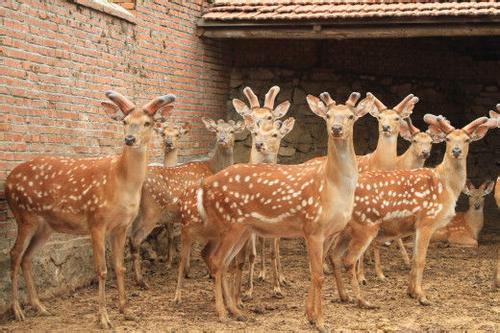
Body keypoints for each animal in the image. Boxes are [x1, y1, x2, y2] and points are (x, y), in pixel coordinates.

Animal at [4, 91, 174, 326]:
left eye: (147, 123)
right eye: (124, 121)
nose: (129, 139)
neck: (121, 182)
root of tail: (8, 180)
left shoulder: (122, 226)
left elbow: (119, 266)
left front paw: (126, 310)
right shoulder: (96, 221)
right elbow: (101, 269)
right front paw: (103, 318)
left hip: (45, 226)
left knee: (27, 257)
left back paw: (40, 307)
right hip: (24, 215)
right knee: (14, 254)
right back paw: (18, 310)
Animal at [130, 117, 245, 288]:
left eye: (232, 131)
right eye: (216, 130)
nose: (222, 139)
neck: (212, 168)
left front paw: (187, 271)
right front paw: (205, 273)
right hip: (151, 211)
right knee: (136, 239)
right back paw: (141, 281)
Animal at [174, 86, 294, 304]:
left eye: (270, 117)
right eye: (250, 118)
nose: (259, 142)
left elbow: (272, 250)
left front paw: (277, 288)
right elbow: (247, 256)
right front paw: (247, 291)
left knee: (275, 246)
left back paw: (278, 277)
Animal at [326, 112, 494, 308]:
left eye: (467, 139)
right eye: (448, 139)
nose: (456, 151)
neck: (446, 186)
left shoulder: (414, 227)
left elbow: (414, 259)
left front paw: (411, 292)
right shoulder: (426, 220)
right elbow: (421, 260)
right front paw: (422, 296)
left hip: (346, 229)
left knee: (334, 255)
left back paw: (345, 296)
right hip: (365, 225)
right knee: (348, 259)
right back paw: (363, 300)